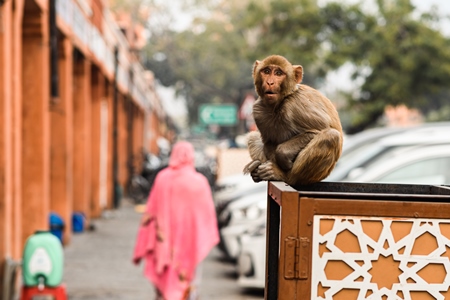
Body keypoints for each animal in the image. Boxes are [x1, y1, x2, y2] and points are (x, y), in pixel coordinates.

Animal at [244, 54, 342, 185]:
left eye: (278, 73)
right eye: (267, 71)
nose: (270, 82)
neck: (279, 104)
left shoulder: (295, 105)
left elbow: (319, 130)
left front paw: (281, 157)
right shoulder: (258, 110)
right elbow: (269, 143)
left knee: (331, 136)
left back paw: (282, 175)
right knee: (252, 137)